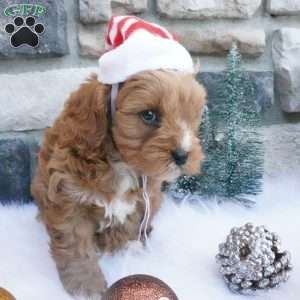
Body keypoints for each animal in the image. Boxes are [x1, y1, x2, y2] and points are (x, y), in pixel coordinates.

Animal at [31, 69, 206, 298]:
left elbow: (126, 226)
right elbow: (75, 245)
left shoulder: (144, 198)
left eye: (191, 116)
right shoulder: (68, 197)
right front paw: (85, 284)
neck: (120, 161)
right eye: (149, 115)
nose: (183, 155)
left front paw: (118, 250)